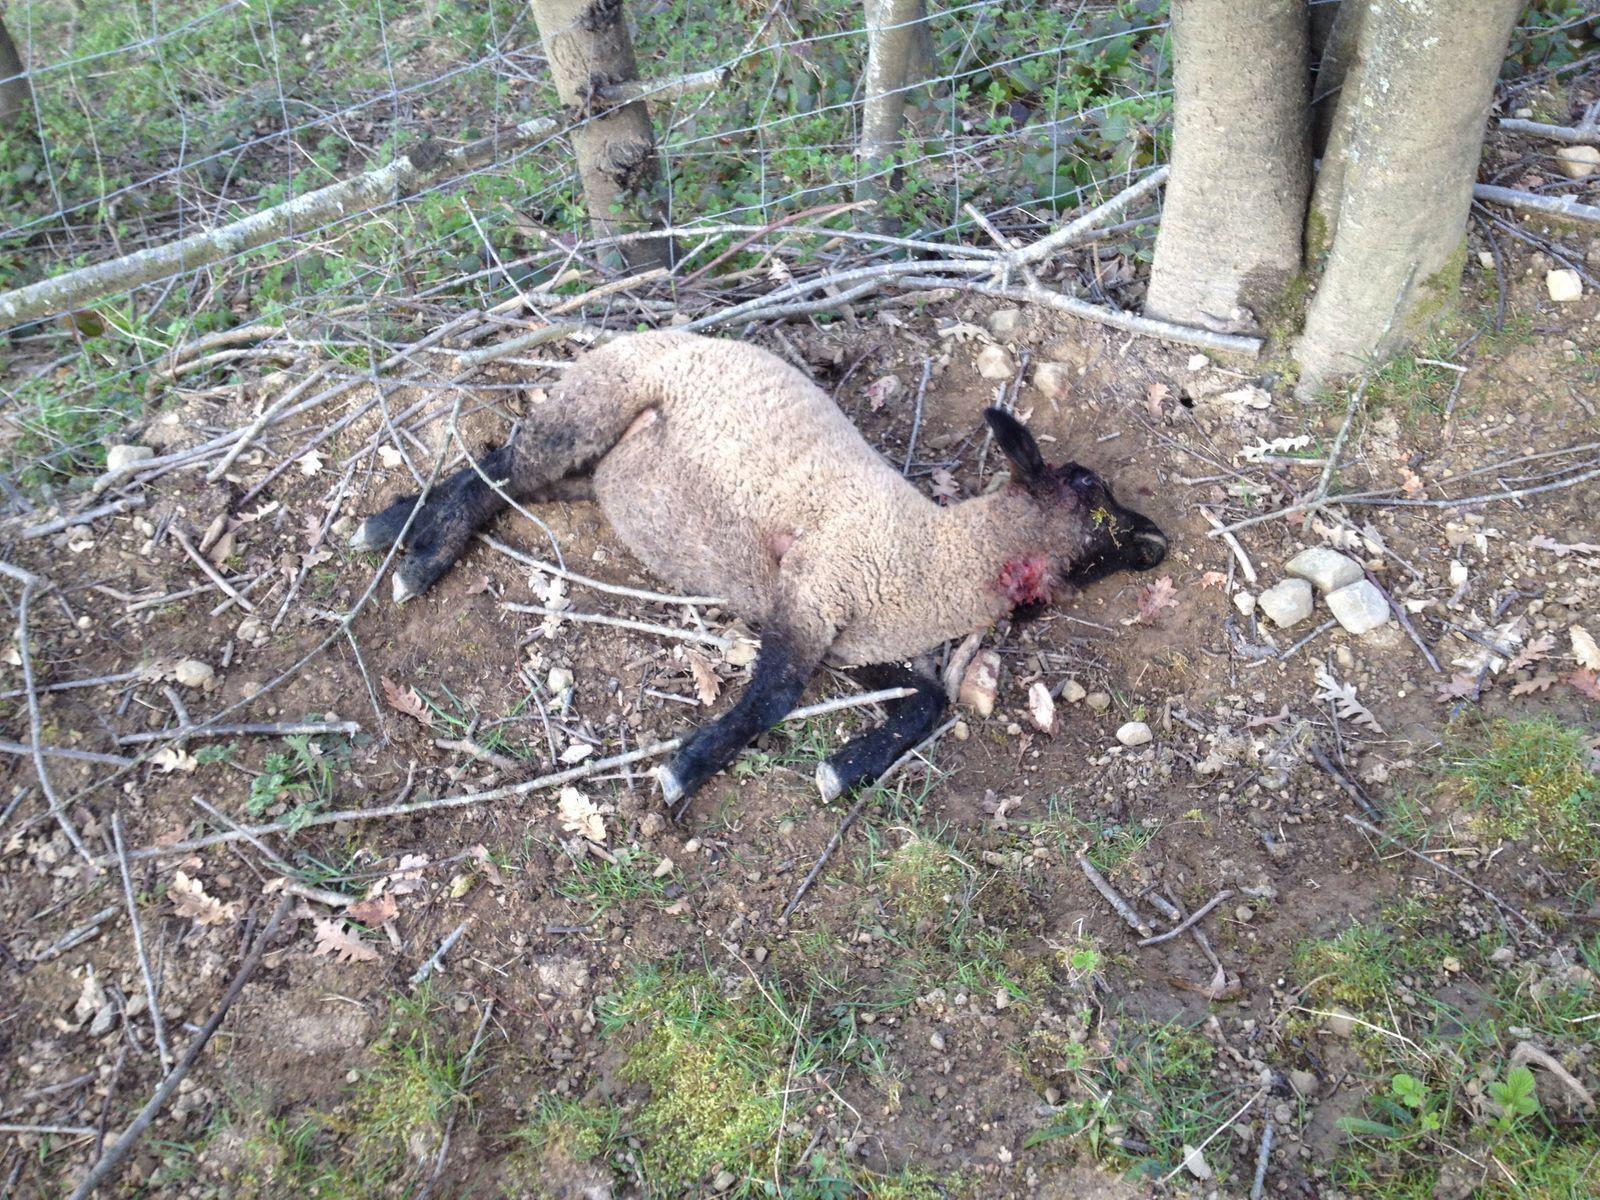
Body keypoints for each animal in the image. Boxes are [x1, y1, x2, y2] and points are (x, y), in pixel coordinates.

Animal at [352, 330, 1168, 811]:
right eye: (1091, 491)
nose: (1160, 541)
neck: (933, 560)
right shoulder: (812, 592)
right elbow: (775, 695)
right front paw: (689, 768)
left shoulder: (846, 641)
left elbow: (929, 699)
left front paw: (846, 765)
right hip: (597, 401)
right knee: (502, 469)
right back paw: (414, 557)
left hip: (594, 471)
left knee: (501, 478)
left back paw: (395, 529)